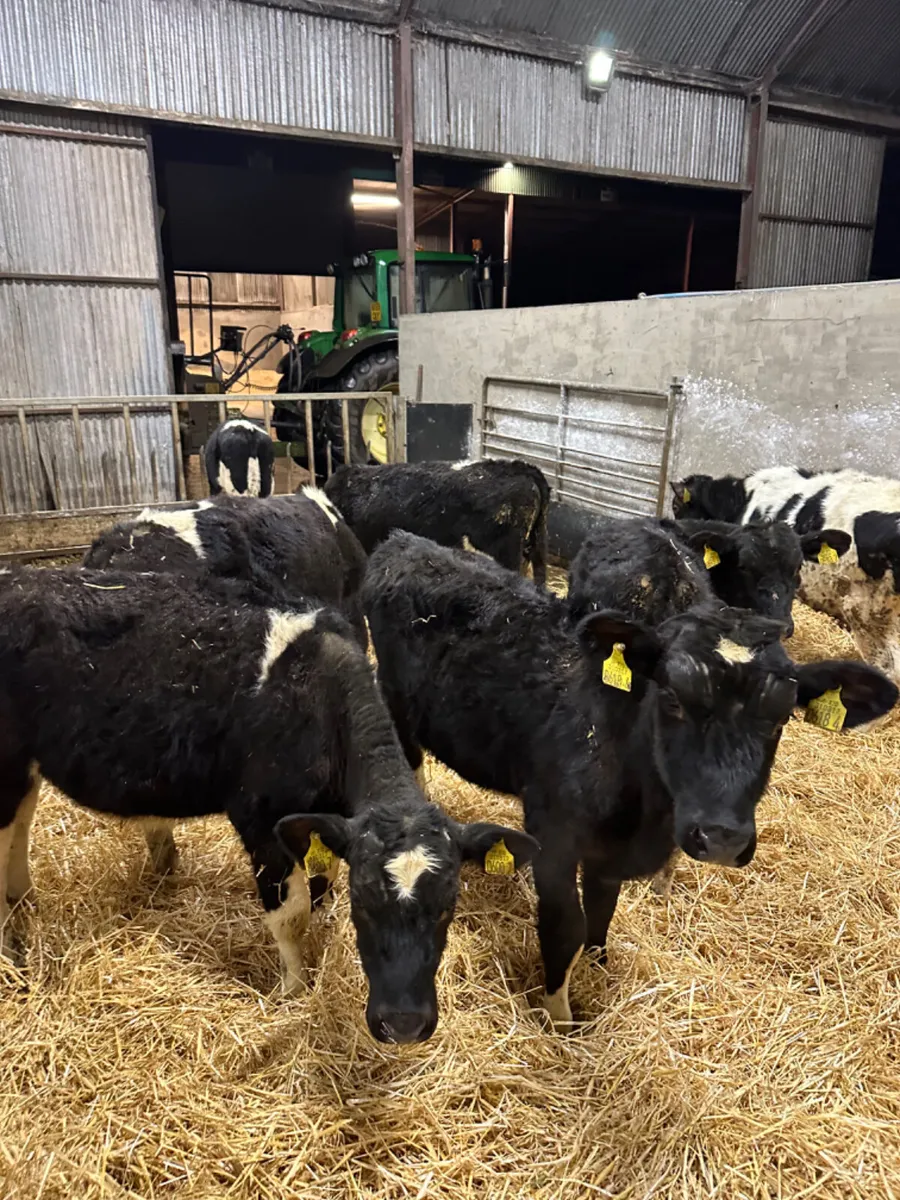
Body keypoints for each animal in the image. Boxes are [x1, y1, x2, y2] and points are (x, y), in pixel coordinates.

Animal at [0, 567, 536, 1043]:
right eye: (364, 905)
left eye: (448, 907)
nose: (403, 1025)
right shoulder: (259, 819)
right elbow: (291, 914)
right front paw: (293, 990)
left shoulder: (317, 822)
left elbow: (319, 888)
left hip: (23, 769)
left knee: (18, 832)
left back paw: (23, 907)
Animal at [363, 532, 897, 1026]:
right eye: (673, 697)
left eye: (782, 716)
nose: (721, 837)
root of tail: (405, 542)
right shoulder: (553, 839)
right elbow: (566, 929)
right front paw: (561, 1018)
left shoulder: (609, 857)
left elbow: (602, 914)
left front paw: (597, 968)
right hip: (395, 701)